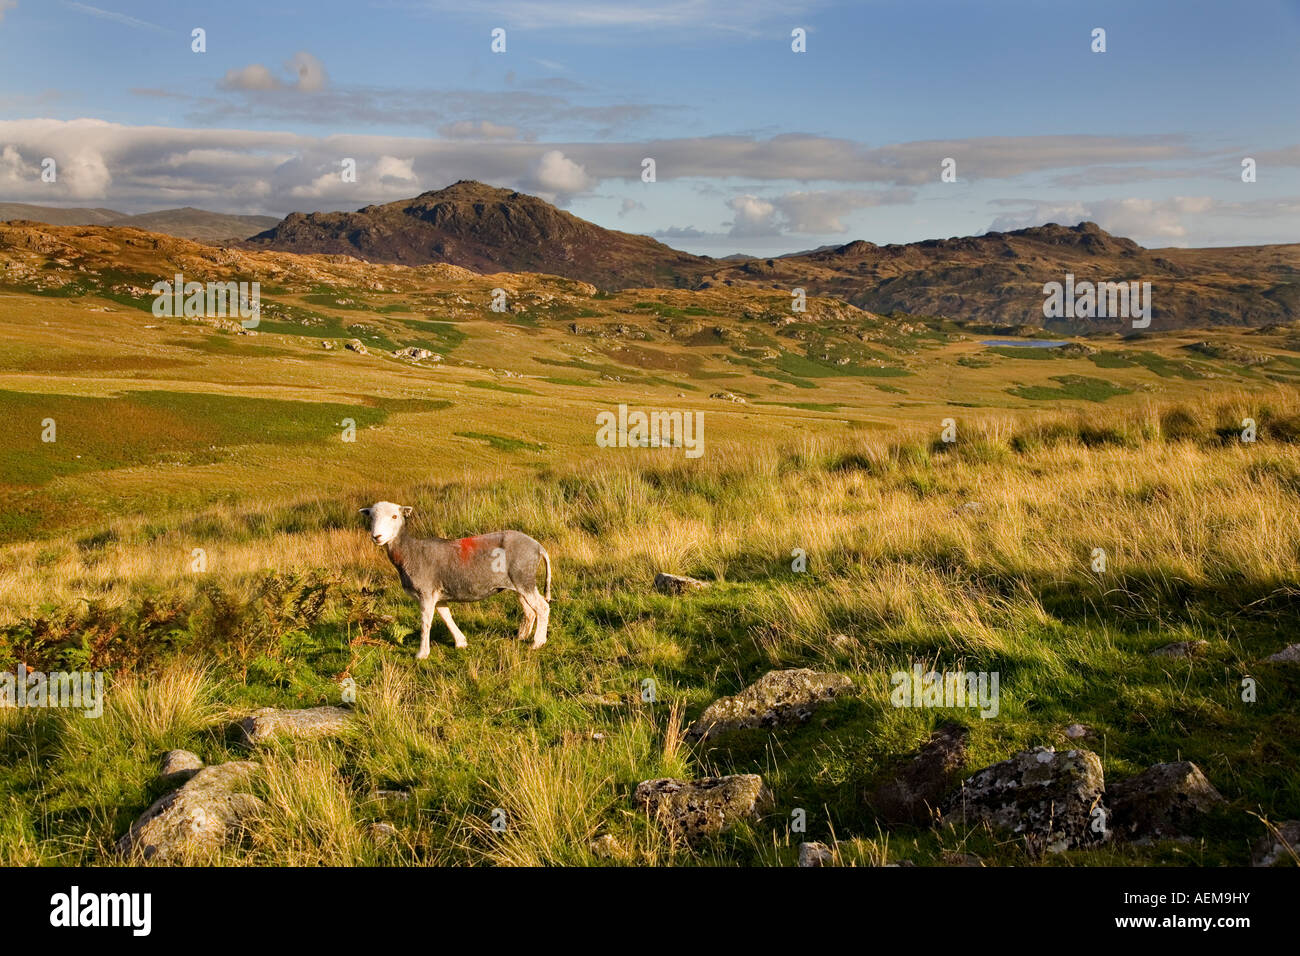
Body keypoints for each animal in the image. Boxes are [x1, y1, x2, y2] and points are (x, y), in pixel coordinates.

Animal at [361, 502, 553, 658]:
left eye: (395, 516)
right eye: (371, 517)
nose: (377, 536)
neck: (410, 552)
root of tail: (538, 547)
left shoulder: (426, 592)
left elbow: (426, 623)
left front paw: (422, 654)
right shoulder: (437, 594)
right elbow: (446, 616)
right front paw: (461, 642)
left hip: (524, 578)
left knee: (543, 608)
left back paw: (537, 643)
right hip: (520, 582)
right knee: (530, 611)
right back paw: (521, 636)